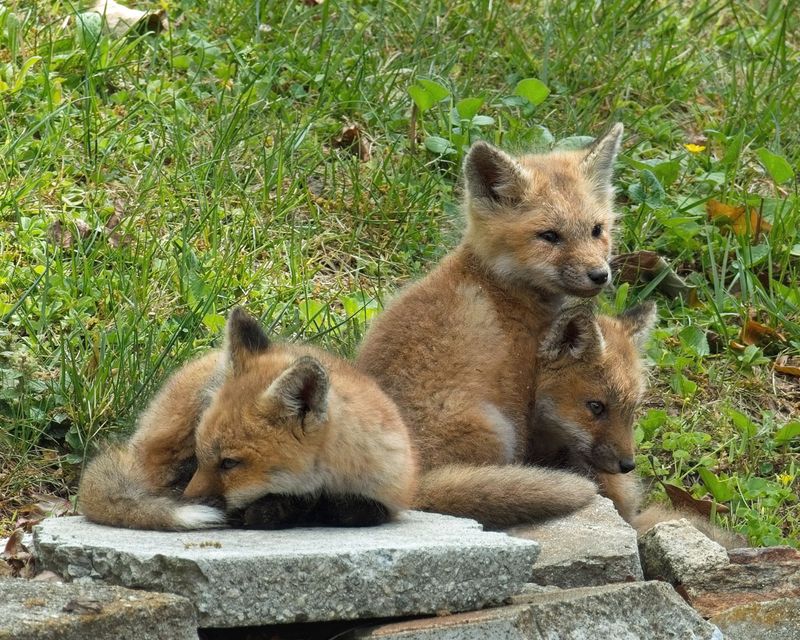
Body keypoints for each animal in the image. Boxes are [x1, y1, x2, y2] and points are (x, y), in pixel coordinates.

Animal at [356, 125, 626, 529]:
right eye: (549, 236)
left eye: (597, 230)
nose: (600, 275)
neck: (498, 285)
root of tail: (409, 491)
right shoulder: (520, 389)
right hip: (495, 427)